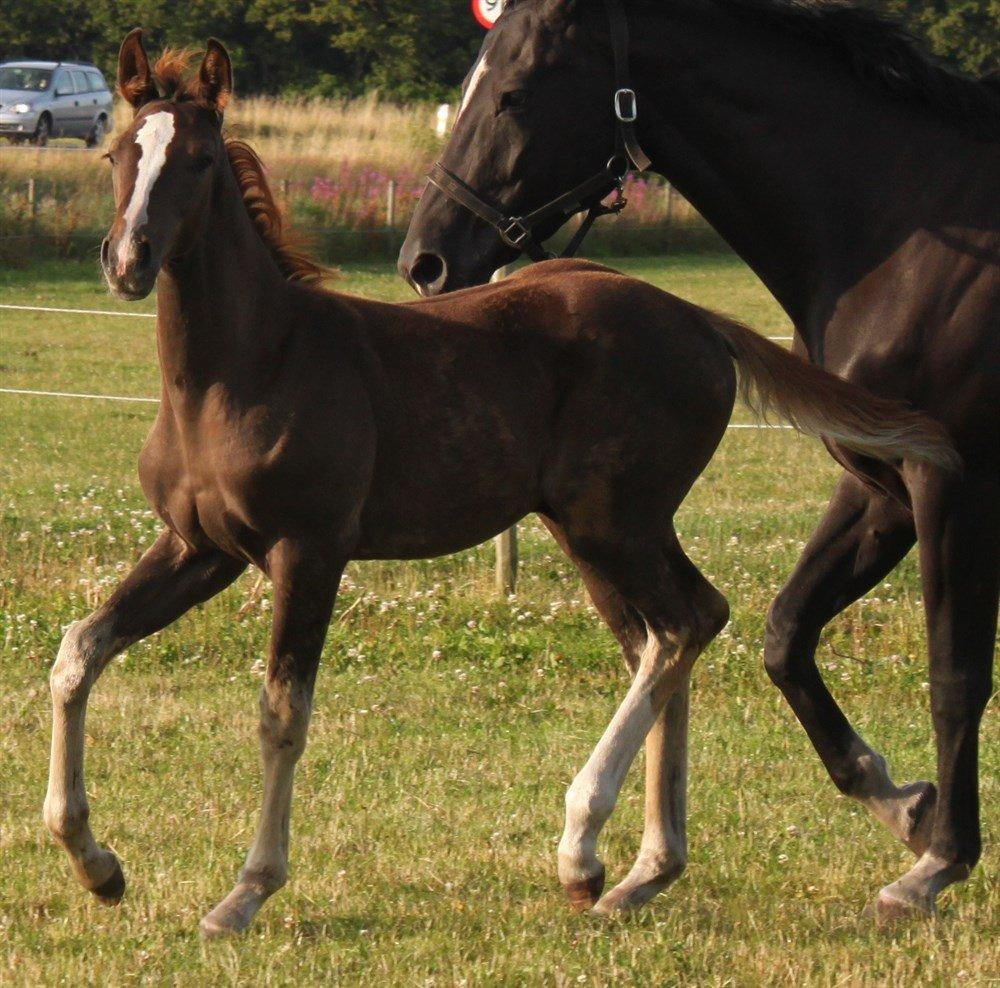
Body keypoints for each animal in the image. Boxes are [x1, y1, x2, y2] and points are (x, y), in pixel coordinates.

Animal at [43, 30, 956, 936]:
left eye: (198, 160)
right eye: (120, 152)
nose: (128, 260)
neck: (248, 366)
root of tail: (695, 318)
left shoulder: (308, 552)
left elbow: (281, 715)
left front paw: (246, 891)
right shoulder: (200, 547)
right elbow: (77, 652)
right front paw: (96, 865)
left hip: (610, 521)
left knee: (685, 623)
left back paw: (584, 848)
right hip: (602, 526)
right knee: (666, 637)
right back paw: (648, 867)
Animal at [400, 0, 1000, 920]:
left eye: (512, 94)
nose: (424, 260)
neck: (901, 232)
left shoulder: (953, 488)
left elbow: (956, 674)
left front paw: (938, 862)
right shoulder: (881, 485)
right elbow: (787, 637)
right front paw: (900, 803)